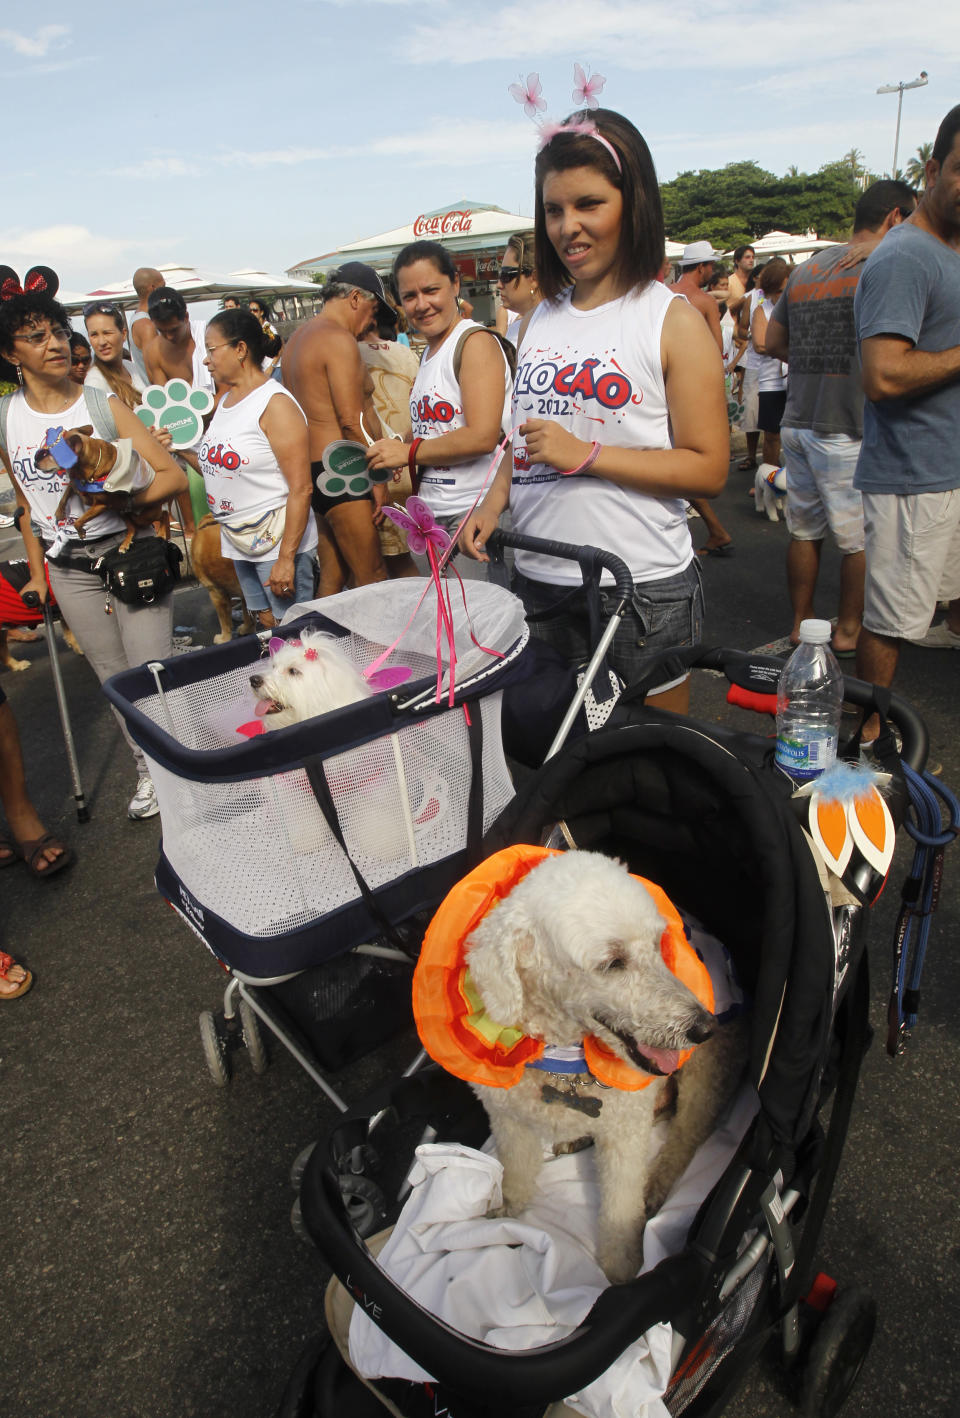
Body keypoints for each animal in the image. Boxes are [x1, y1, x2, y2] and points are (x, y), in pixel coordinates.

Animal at [459, 850, 743, 1287]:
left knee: (687, 1134)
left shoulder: (625, 1134)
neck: (564, 1056)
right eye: (613, 963)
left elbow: (620, 1208)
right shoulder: (509, 1119)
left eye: (659, 944)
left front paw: (622, 1271)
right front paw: (507, 1211)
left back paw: (655, 1185)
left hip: (707, 1072)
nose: (703, 1027)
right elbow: (516, 1170)